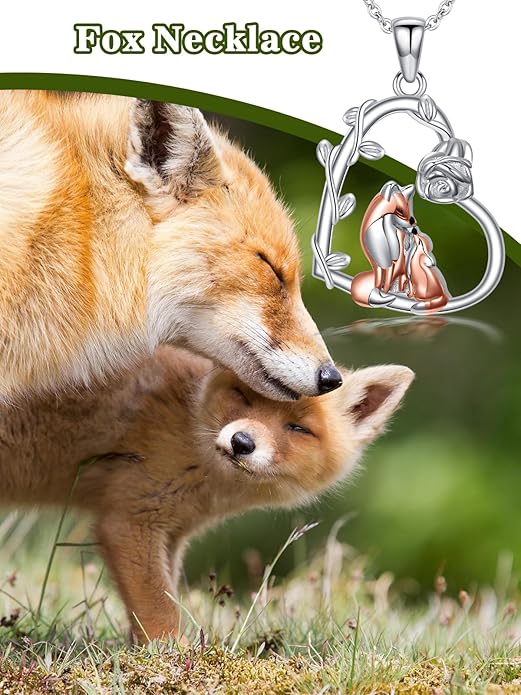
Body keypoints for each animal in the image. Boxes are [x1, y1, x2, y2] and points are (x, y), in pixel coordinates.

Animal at [0, 346, 414, 642]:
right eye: (244, 397)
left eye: (298, 428)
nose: (242, 442)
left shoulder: (172, 533)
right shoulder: (128, 522)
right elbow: (159, 607)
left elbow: (162, 596)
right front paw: (171, 655)